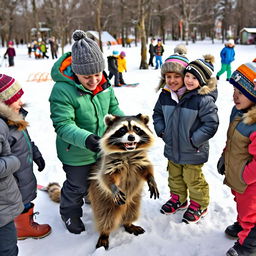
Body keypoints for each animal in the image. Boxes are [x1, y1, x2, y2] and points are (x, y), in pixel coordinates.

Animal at [89, 113, 159, 249]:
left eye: (137, 129)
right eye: (122, 130)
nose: (131, 137)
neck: (128, 153)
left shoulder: (141, 159)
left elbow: (147, 169)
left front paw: (151, 179)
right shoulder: (109, 163)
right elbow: (106, 176)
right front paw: (113, 187)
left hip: (134, 199)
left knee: (132, 211)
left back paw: (128, 223)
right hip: (103, 200)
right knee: (106, 216)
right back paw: (104, 233)